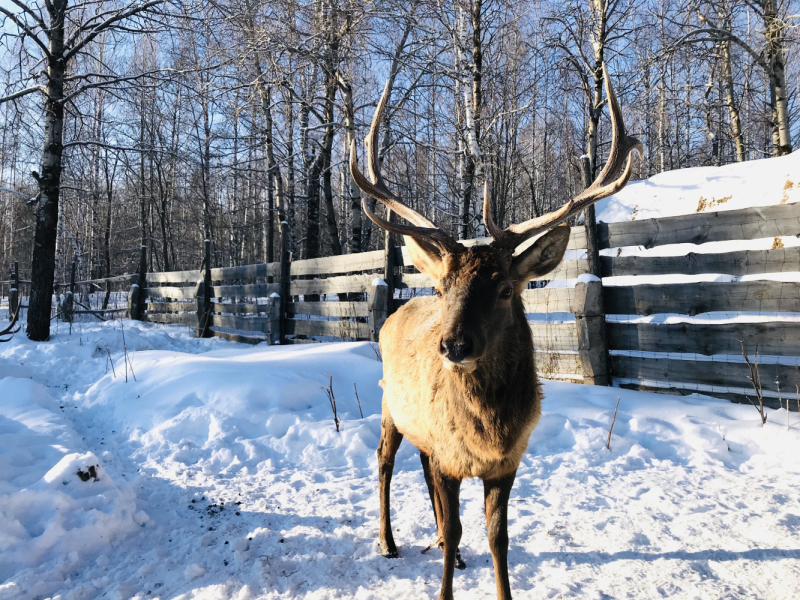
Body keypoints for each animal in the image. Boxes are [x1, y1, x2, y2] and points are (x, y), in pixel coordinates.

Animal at [354, 63, 640, 596]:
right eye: (443, 286)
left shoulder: (508, 462)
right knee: (383, 460)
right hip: (389, 404)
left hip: (423, 430)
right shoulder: (449, 456)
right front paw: (444, 586)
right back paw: (387, 541)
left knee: (419, 466)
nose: (453, 345)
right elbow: (455, 525)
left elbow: (496, 537)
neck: (488, 435)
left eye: (507, 289)